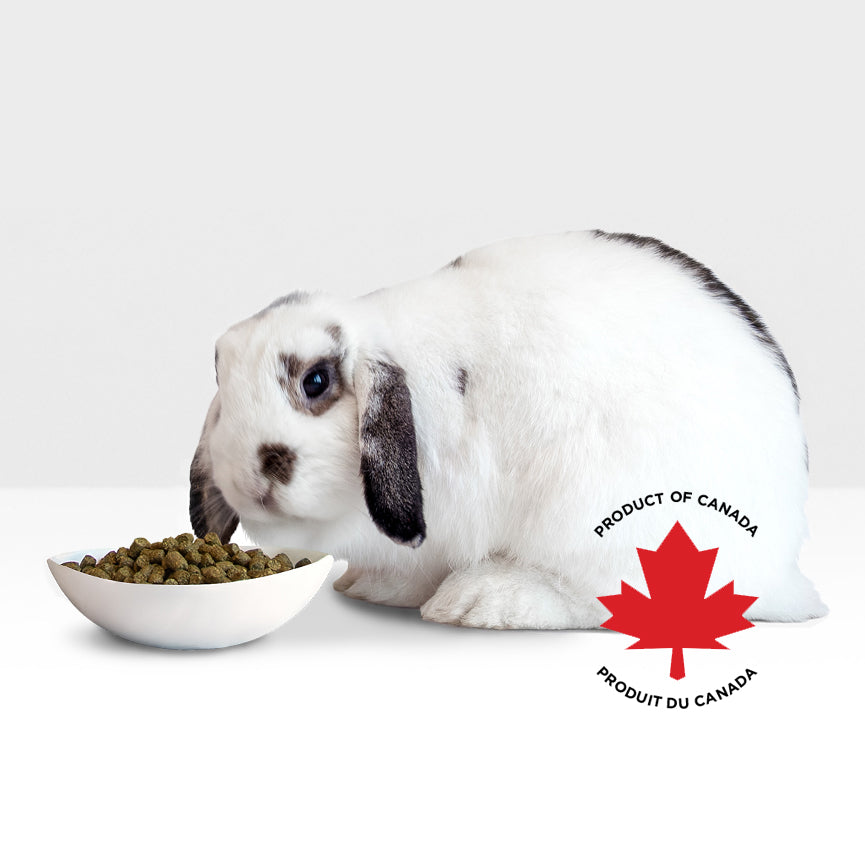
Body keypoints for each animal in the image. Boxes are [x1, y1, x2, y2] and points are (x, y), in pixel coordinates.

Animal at [190, 229, 828, 629]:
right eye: (219, 370)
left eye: (317, 381)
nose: (249, 477)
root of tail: (781, 571)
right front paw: (373, 585)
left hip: (595, 519)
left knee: (600, 599)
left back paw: (482, 602)